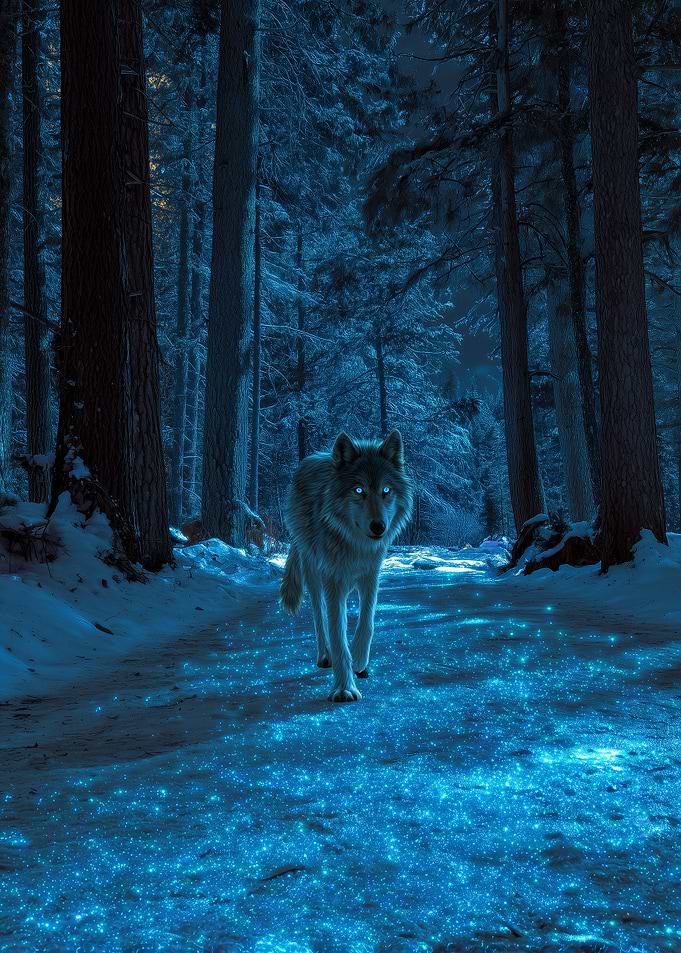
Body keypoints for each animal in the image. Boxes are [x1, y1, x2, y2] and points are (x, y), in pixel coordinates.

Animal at [280, 430, 413, 702]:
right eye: (359, 490)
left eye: (386, 490)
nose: (378, 527)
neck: (356, 545)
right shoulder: (334, 581)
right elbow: (338, 634)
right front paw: (344, 688)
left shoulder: (371, 575)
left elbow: (367, 622)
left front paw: (360, 660)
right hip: (312, 570)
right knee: (318, 615)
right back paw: (324, 655)